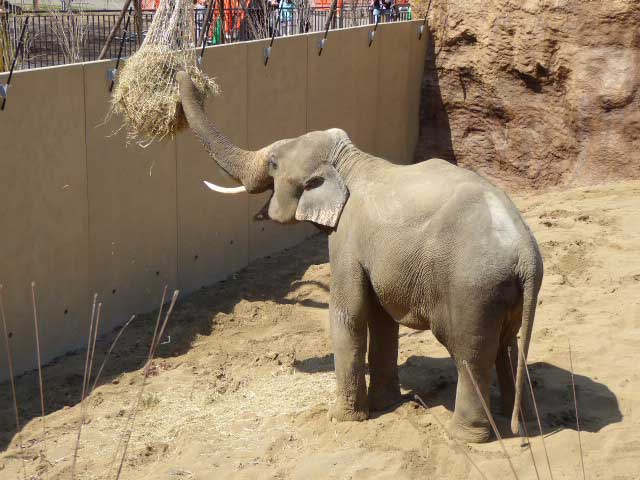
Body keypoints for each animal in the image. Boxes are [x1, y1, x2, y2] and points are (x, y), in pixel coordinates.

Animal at [176, 71, 544, 442]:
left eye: (274, 163)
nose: (183, 73)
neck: (347, 159)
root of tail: (525, 254)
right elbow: (381, 318)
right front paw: (384, 404)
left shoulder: (346, 238)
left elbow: (349, 313)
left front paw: (340, 418)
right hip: (502, 291)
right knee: (507, 344)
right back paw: (521, 419)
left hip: (472, 289)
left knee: (471, 354)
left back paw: (466, 436)